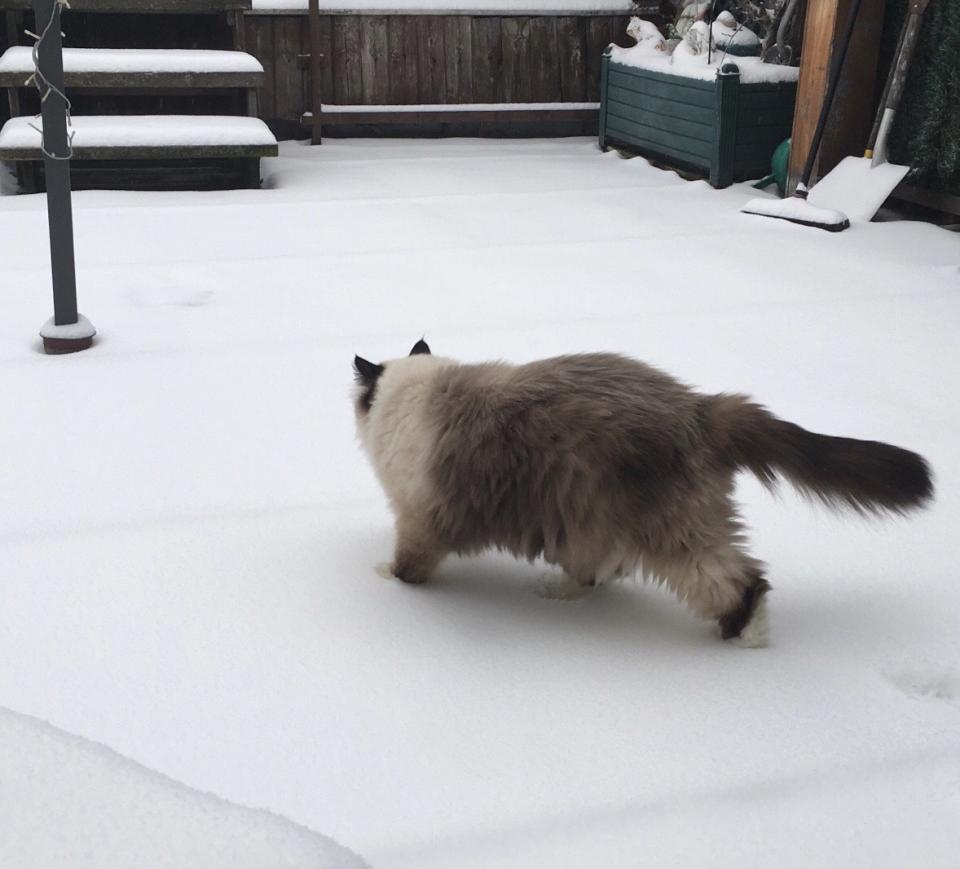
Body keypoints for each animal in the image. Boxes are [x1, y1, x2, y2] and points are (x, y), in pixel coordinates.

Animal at [353, 341, 933, 647]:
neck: (409, 396)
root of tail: (700, 407)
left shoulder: (418, 521)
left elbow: (407, 569)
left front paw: (384, 581)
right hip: (590, 517)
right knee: (594, 572)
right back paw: (555, 593)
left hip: (675, 537)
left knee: (742, 583)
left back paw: (746, 640)